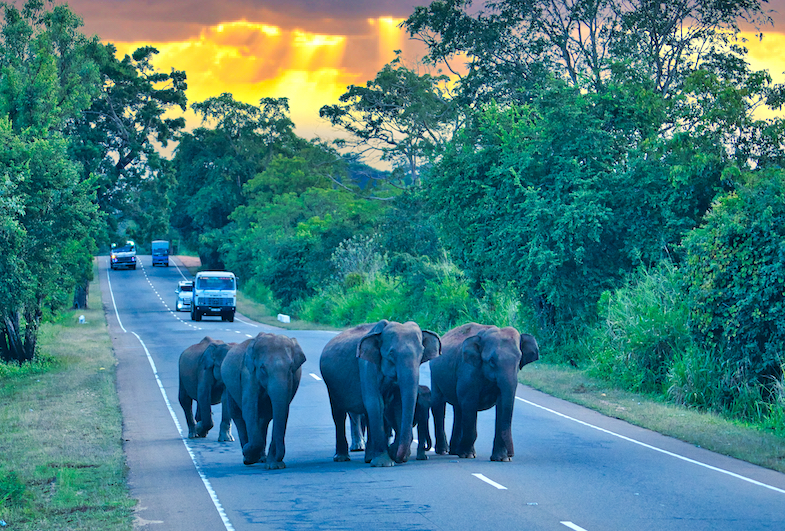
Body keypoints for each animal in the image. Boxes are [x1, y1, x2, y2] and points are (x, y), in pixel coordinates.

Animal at [222, 332, 308, 470]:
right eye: (262, 368)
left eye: (290, 367)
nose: (278, 459)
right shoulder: (248, 374)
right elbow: (249, 410)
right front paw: (249, 455)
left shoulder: (293, 379)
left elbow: (282, 411)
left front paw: (274, 465)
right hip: (230, 387)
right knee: (238, 416)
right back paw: (248, 457)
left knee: (264, 419)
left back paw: (261, 458)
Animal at [318, 320, 440, 466]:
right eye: (391, 353)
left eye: (422, 352)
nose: (399, 457)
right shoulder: (366, 366)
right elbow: (375, 403)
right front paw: (384, 463)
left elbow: (398, 405)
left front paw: (395, 454)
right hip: (332, 386)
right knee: (339, 414)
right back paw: (342, 458)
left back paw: (369, 457)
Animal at [428, 322, 540, 464]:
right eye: (491, 361)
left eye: (519, 359)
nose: (511, 455)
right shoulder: (468, 372)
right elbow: (470, 404)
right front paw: (468, 455)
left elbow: (502, 406)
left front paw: (501, 459)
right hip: (435, 376)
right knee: (438, 405)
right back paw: (444, 450)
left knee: (458, 409)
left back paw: (454, 451)